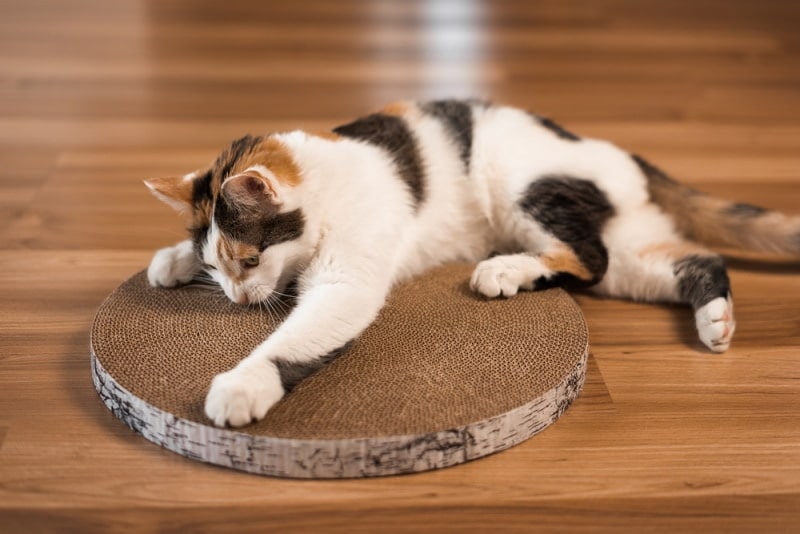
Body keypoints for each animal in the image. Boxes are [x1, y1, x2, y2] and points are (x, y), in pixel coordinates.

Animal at [145, 98, 800, 430]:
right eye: (218, 268)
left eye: (249, 259)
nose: (235, 298)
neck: (328, 181)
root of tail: (623, 155)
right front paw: (171, 261)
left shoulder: (346, 278)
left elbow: (296, 336)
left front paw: (242, 383)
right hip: (632, 254)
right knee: (686, 258)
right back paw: (715, 320)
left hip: (522, 184)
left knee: (589, 257)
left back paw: (504, 271)